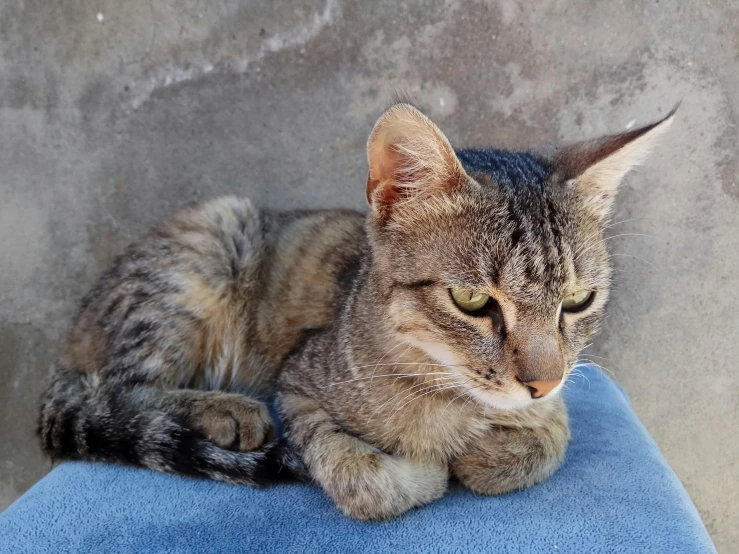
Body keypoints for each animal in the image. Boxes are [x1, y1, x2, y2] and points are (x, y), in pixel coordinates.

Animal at [40, 99, 676, 516]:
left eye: (578, 300)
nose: (542, 382)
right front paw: (429, 468)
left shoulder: (557, 403)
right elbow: (365, 480)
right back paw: (225, 408)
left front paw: (492, 450)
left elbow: (551, 440)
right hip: (206, 246)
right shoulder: (297, 385)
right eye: (471, 300)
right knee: (114, 388)